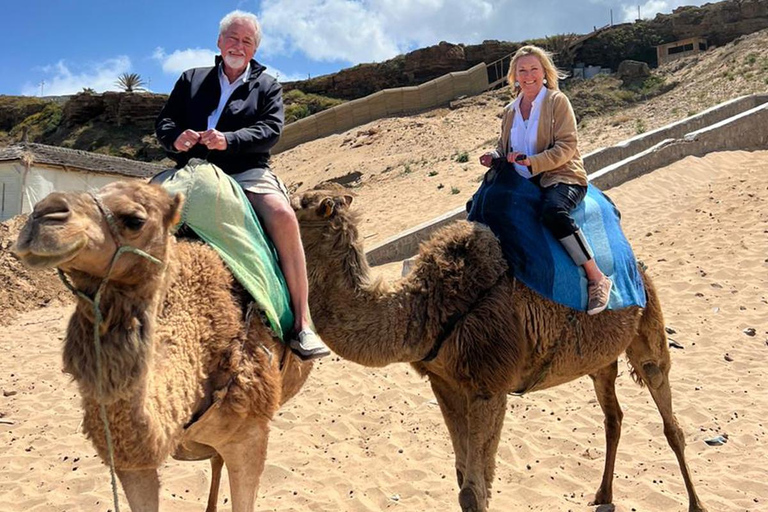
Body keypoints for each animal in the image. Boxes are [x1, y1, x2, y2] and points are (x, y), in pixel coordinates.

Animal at [294, 189, 708, 512]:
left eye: (297, 202)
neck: (426, 306)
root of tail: (635, 262)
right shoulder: (444, 383)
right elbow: (462, 476)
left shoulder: (488, 385)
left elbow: (472, 492)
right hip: (600, 357)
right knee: (613, 417)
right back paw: (602, 494)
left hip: (647, 319)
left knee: (667, 411)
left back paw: (696, 503)